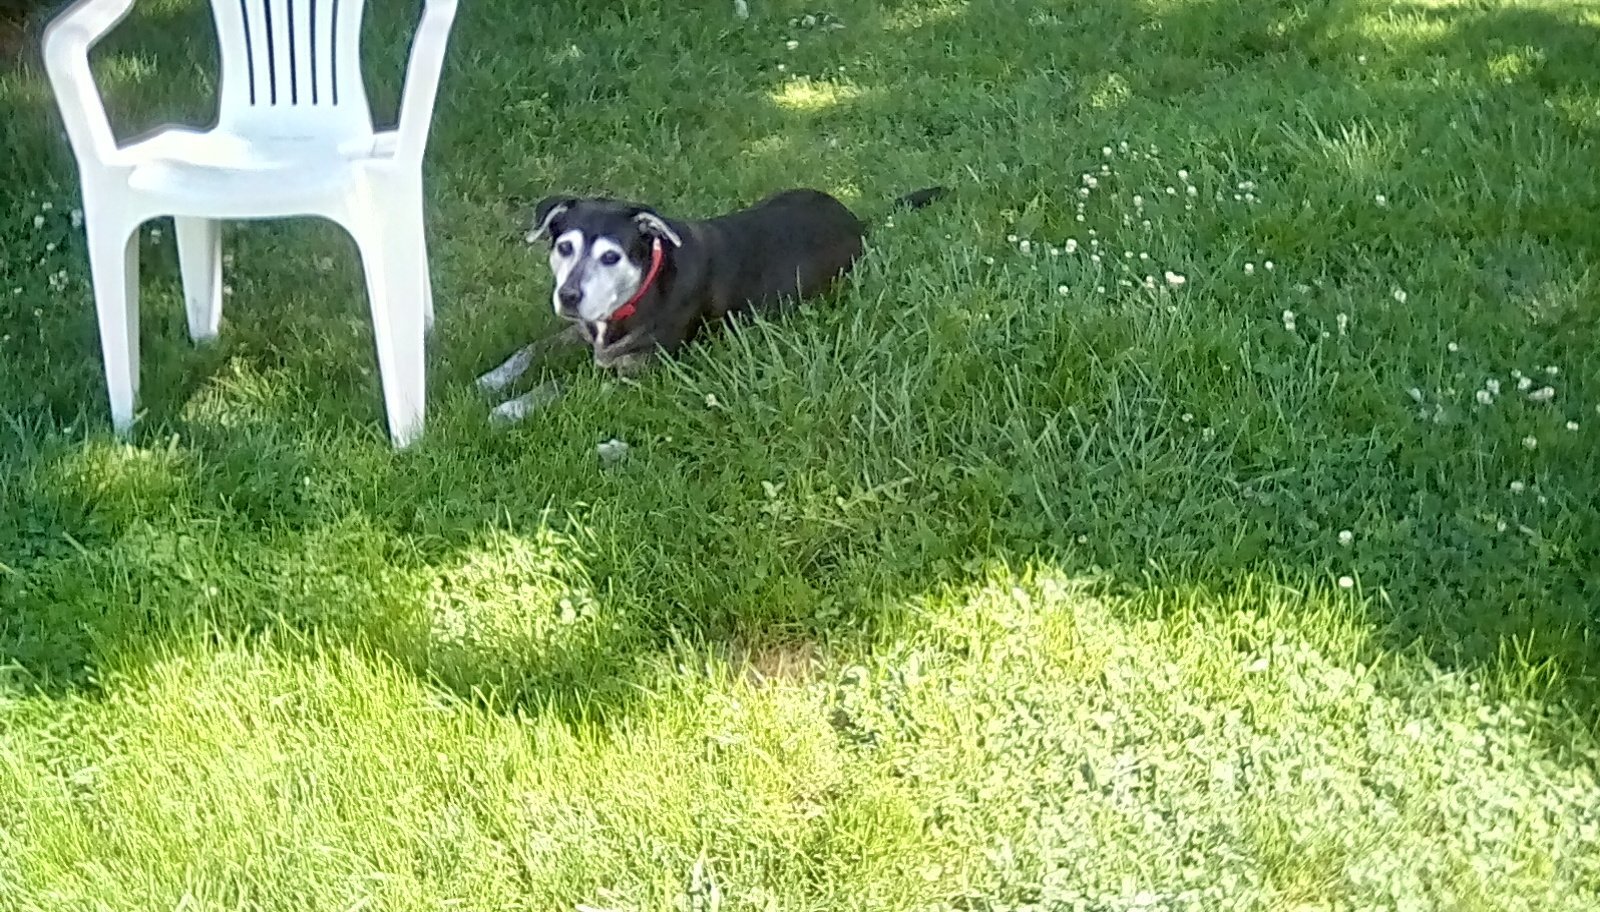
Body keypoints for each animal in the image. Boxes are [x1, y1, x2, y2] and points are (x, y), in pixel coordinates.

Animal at [476, 188, 947, 422]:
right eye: (564, 247)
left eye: (611, 256)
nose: (569, 296)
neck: (643, 287)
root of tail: (855, 219)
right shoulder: (583, 328)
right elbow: (532, 349)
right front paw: (492, 380)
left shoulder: (641, 370)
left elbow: (561, 385)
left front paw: (512, 408)